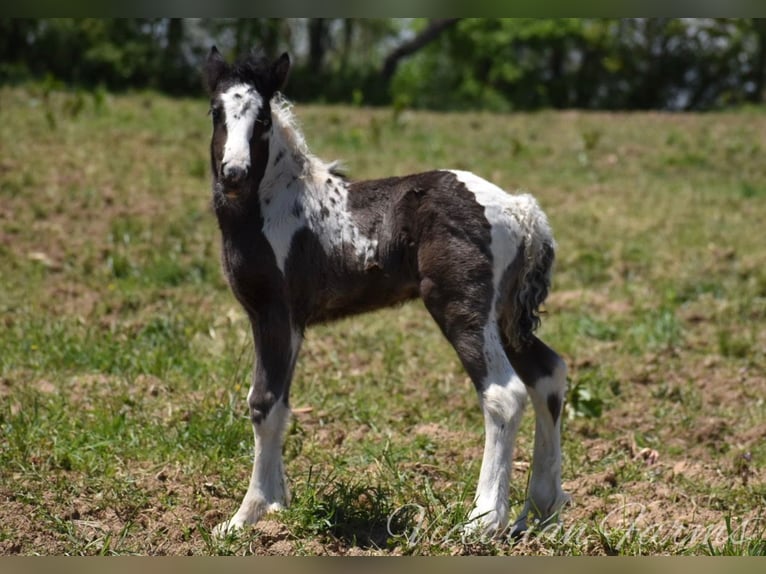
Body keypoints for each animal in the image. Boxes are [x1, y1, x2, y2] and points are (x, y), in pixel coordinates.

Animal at [204, 49, 568, 540]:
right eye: (216, 112)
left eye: (261, 119)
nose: (234, 173)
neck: (273, 205)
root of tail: (517, 207)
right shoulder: (294, 323)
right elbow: (281, 404)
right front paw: (279, 506)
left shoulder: (273, 313)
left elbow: (263, 402)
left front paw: (247, 515)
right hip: (504, 316)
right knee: (548, 375)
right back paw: (542, 511)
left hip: (463, 308)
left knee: (504, 393)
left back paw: (483, 519)